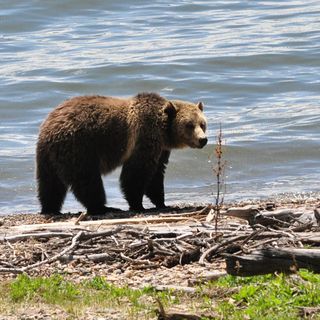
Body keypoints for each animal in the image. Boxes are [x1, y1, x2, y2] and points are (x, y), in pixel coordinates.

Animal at [37, 92, 208, 215]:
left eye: (202, 124)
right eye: (189, 125)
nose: (203, 140)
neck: (164, 131)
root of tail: (48, 127)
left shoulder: (161, 150)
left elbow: (156, 175)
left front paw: (162, 202)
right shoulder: (144, 137)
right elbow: (136, 173)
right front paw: (138, 204)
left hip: (49, 158)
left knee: (50, 184)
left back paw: (50, 208)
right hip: (79, 147)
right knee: (87, 180)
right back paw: (103, 207)